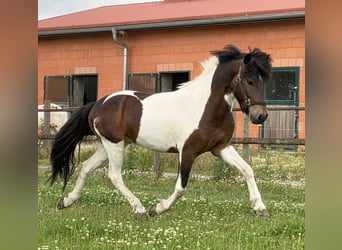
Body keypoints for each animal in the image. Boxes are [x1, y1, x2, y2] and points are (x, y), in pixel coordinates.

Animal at [48, 45, 272, 219]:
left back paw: (66, 201)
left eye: (263, 81)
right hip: (114, 145)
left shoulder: (221, 147)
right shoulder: (187, 151)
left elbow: (247, 170)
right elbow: (181, 187)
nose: (261, 116)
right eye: (249, 80)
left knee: (86, 167)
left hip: (109, 146)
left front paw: (260, 207)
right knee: (114, 175)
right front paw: (157, 208)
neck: (204, 106)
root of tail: (98, 104)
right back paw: (139, 210)